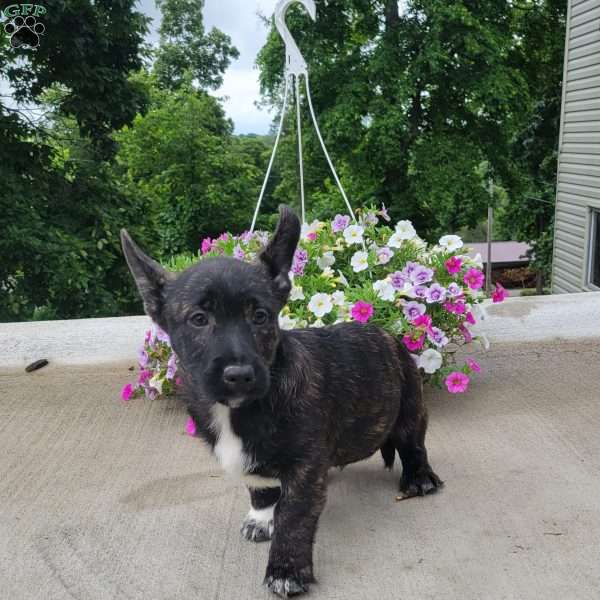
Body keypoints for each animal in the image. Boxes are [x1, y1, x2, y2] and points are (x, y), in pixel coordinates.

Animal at [120, 205, 440, 596]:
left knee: (413, 445)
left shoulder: (304, 469)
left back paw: (419, 479)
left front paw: (286, 568)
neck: (240, 410)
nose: (239, 374)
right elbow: (260, 488)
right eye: (198, 319)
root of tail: (390, 336)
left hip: (410, 408)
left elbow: (294, 516)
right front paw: (261, 518)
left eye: (260, 316)